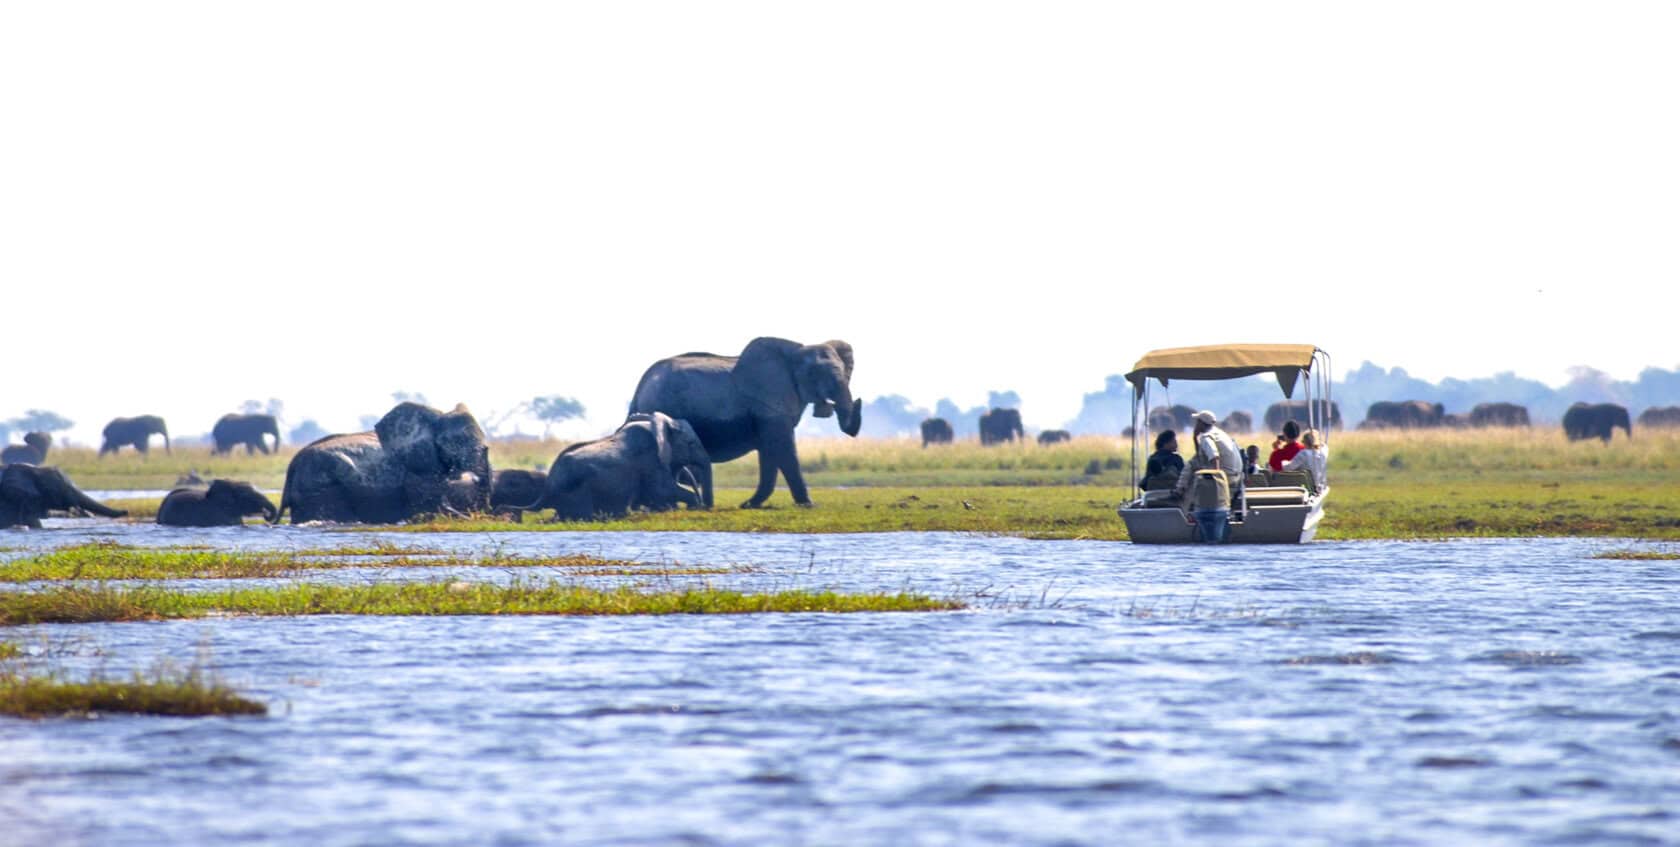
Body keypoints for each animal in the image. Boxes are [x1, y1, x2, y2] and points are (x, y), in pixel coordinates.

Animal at [520, 413, 710, 521]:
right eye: (691, 443)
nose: (706, 507)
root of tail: (547, 489)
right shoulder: (651, 462)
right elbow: (663, 491)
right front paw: (695, 505)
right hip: (575, 490)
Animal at [628, 337, 859, 508]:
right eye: (814, 374)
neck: (796, 351)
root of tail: (640, 387)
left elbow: (770, 451)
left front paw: (750, 505)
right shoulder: (770, 401)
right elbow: (783, 448)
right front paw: (808, 505)